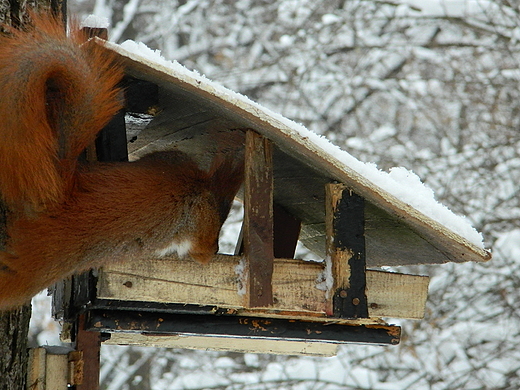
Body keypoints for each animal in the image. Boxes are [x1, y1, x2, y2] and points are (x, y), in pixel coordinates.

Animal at [0, 13, 245, 310]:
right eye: (223, 214)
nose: (218, 249)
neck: (200, 185)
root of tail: (61, 190)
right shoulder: (202, 227)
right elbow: (200, 252)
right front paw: (207, 256)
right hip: (38, 265)